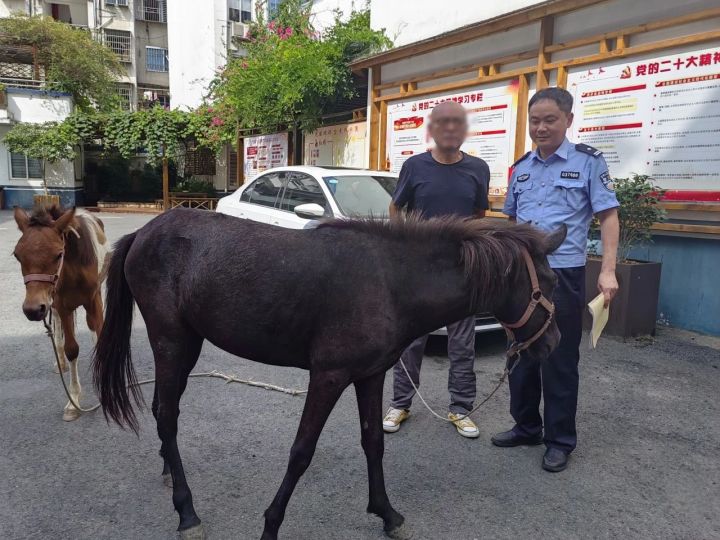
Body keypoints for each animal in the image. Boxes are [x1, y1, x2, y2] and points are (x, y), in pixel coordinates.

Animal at [13, 205, 109, 421]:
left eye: (58, 254)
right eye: (17, 255)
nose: (33, 309)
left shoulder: (93, 301)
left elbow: (99, 336)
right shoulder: (62, 306)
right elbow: (71, 348)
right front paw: (73, 402)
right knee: (57, 330)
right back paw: (61, 362)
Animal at [92, 208, 566, 540]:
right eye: (551, 283)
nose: (552, 344)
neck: (391, 281)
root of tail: (143, 234)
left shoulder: (371, 376)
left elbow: (374, 443)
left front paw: (387, 514)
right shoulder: (329, 377)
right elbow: (301, 452)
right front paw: (271, 524)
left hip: (185, 345)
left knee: (163, 410)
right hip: (173, 342)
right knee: (167, 415)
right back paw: (187, 512)